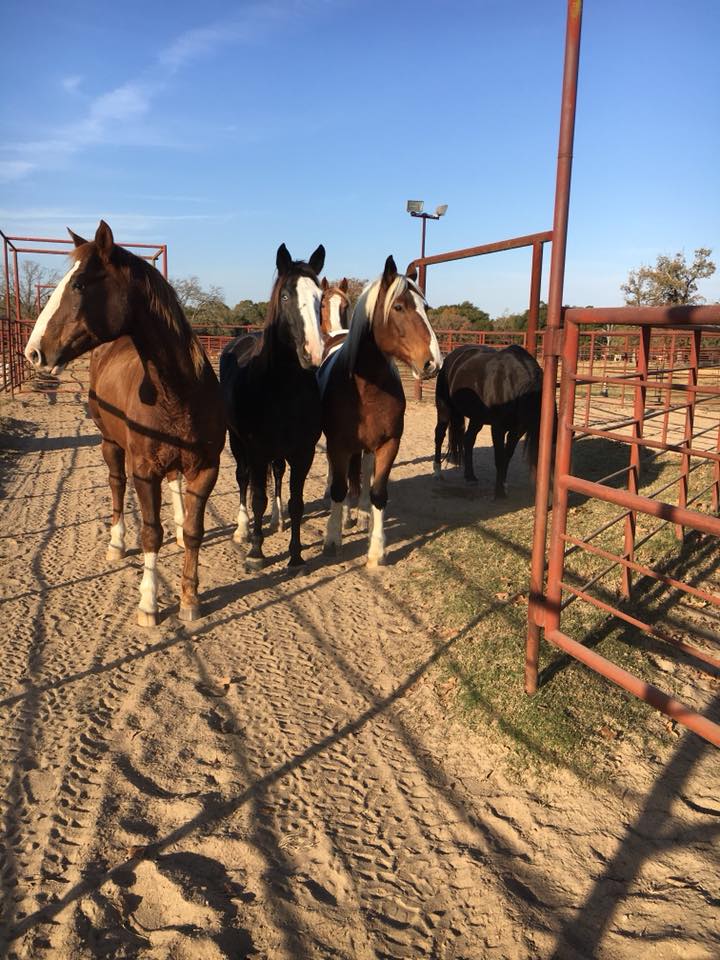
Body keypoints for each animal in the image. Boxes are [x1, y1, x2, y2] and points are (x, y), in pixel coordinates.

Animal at [24, 220, 225, 626]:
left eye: (79, 284)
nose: (32, 352)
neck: (178, 394)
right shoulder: (144, 472)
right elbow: (150, 534)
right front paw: (149, 603)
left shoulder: (205, 469)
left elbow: (195, 531)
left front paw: (190, 599)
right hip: (111, 445)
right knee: (117, 486)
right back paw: (116, 543)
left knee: (173, 484)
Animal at [220, 243, 325, 571]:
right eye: (286, 296)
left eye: (320, 298)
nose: (313, 354)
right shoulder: (256, 451)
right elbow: (257, 499)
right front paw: (256, 553)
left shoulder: (303, 452)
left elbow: (297, 501)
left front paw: (296, 555)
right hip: (236, 441)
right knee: (242, 479)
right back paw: (243, 530)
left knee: (277, 474)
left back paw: (278, 521)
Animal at [319, 255, 442, 566]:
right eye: (398, 307)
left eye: (426, 308)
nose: (433, 363)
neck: (366, 388)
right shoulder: (337, 443)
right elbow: (339, 488)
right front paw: (333, 539)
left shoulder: (389, 443)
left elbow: (377, 492)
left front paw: (376, 551)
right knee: (338, 477)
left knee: (362, 471)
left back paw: (360, 515)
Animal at [433, 343, 545, 498]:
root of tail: (450, 357)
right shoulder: (498, 428)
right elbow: (499, 457)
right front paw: (499, 493)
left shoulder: (516, 431)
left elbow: (507, 457)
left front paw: (503, 485)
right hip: (444, 409)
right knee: (439, 435)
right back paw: (437, 472)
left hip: (477, 418)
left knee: (468, 440)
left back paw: (470, 476)